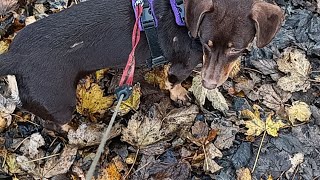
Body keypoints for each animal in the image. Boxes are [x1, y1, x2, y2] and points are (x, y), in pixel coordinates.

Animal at [0, 0, 284, 124]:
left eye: (236, 48)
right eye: (206, 44)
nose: (209, 84)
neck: (183, 12)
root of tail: (14, 57)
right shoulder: (183, 64)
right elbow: (174, 80)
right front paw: (179, 93)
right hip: (60, 104)